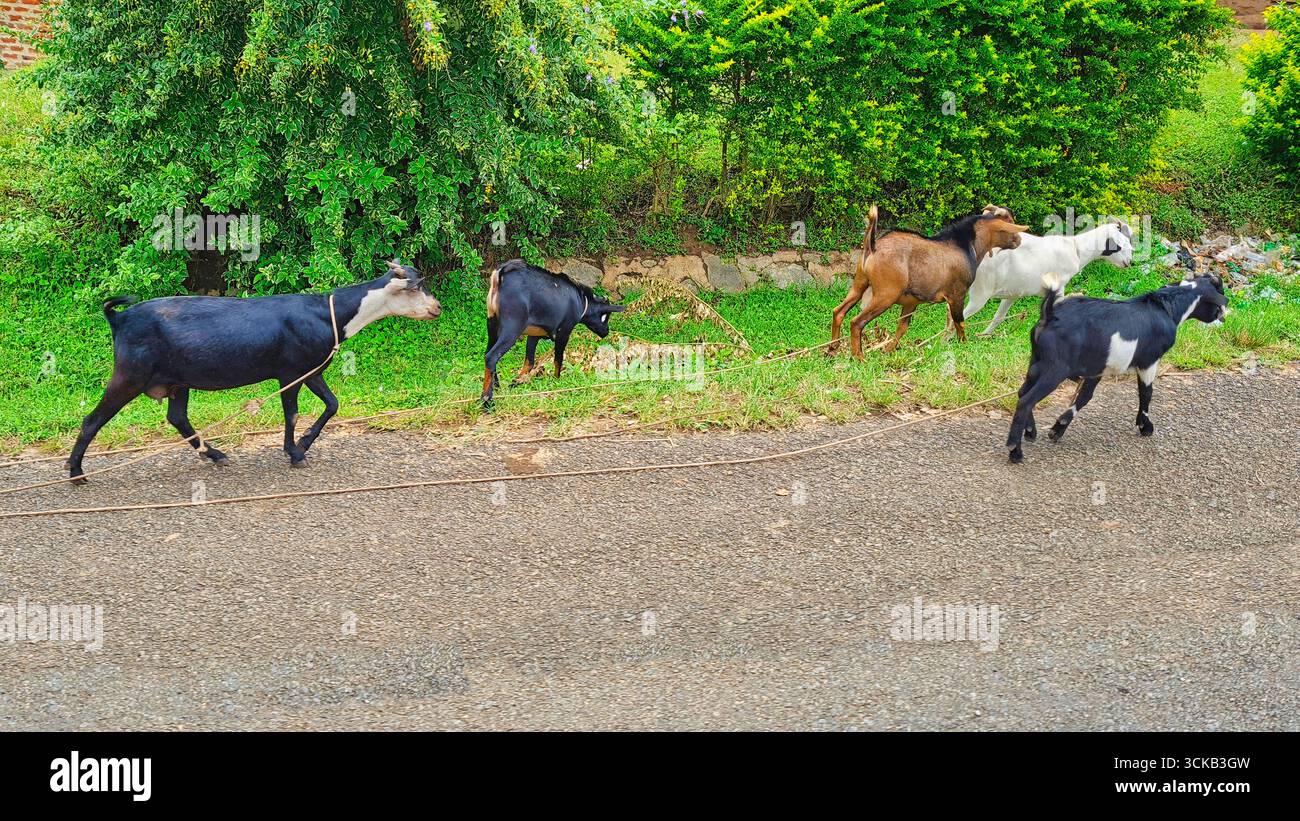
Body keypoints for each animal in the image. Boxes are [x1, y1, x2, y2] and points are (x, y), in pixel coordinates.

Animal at [68, 261, 441, 482]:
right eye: (417, 286)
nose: (437, 307)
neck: (328, 314)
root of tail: (118, 318)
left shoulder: (310, 369)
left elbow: (332, 405)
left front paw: (303, 443)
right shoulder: (290, 371)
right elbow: (291, 414)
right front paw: (295, 453)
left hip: (177, 379)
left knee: (177, 417)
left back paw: (216, 455)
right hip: (130, 374)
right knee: (92, 420)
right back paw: (75, 472)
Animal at [480, 259, 625, 407]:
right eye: (605, 317)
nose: (606, 332)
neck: (581, 301)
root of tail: (501, 274)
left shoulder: (534, 335)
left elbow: (529, 362)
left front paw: (516, 382)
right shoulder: (564, 332)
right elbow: (558, 360)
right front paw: (556, 380)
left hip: (492, 325)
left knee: (487, 354)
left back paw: (497, 387)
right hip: (512, 329)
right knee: (491, 356)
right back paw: (487, 400)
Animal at [830, 206, 1028, 357]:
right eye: (1010, 223)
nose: (1019, 240)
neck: (965, 244)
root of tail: (873, 247)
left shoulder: (911, 302)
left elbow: (902, 327)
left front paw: (888, 350)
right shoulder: (957, 293)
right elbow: (959, 322)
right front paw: (964, 345)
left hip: (859, 284)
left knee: (838, 311)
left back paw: (832, 348)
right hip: (886, 294)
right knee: (856, 322)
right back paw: (859, 357)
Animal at [965, 220, 1135, 334]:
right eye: (1119, 245)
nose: (1129, 262)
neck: (1076, 248)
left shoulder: (1014, 292)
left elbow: (999, 316)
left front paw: (984, 335)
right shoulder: (1058, 286)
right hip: (980, 292)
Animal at [1005, 272, 1228, 463]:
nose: (1222, 315)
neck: (1168, 306)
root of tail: (1049, 314)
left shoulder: (1097, 368)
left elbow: (1084, 397)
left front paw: (1058, 428)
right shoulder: (1149, 361)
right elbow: (1146, 392)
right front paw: (1145, 427)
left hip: (1036, 361)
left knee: (1022, 391)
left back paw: (1030, 432)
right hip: (1055, 368)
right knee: (1026, 400)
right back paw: (1015, 451)